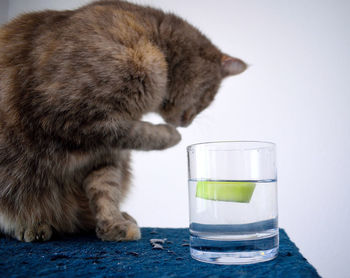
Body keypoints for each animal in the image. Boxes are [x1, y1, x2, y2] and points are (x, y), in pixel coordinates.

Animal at [0, 0, 246, 241]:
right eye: (209, 97)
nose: (188, 122)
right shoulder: (73, 119)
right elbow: (137, 132)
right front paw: (171, 135)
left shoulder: (105, 154)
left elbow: (105, 191)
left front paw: (113, 225)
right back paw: (32, 226)